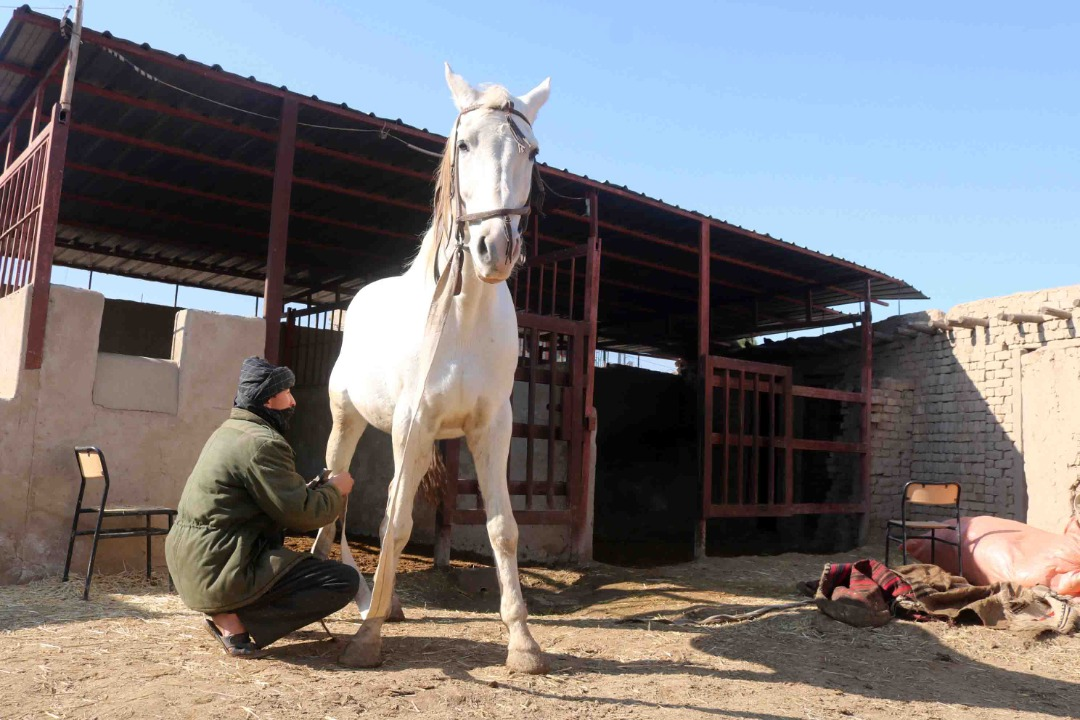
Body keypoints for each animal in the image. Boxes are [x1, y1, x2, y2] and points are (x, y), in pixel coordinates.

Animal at [313, 64, 548, 673]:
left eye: (531, 151)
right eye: (465, 145)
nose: (495, 248)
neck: (461, 315)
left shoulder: (491, 429)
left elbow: (502, 529)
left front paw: (523, 641)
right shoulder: (412, 424)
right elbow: (395, 523)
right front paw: (366, 637)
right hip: (349, 422)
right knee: (334, 489)